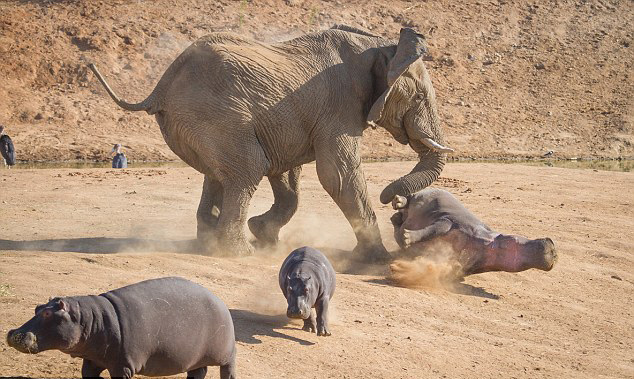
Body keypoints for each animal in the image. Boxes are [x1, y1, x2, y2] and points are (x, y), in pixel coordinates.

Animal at [5, 276, 237, 379]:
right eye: (37, 307)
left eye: (47, 313)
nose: (13, 333)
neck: (90, 319)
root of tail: (220, 300)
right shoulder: (92, 361)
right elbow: (87, 374)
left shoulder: (123, 366)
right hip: (195, 358)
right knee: (198, 372)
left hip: (225, 353)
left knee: (228, 368)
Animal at [89, 25, 452, 262]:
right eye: (420, 97)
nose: (395, 201)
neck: (379, 46)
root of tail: (160, 87)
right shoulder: (340, 106)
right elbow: (337, 175)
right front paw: (378, 259)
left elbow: (288, 174)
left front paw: (265, 234)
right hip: (216, 116)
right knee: (247, 170)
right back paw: (237, 253)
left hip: (201, 122)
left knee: (219, 176)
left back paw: (210, 244)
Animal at [388, 189, 556, 276]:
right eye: (511, 240)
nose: (552, 245)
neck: (487, 244)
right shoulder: (450, 221)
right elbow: (433, 229)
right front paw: (407, 237)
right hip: (423, 195)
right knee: (409, 199)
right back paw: (398, 201)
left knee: (398, 218)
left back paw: (397, 217)